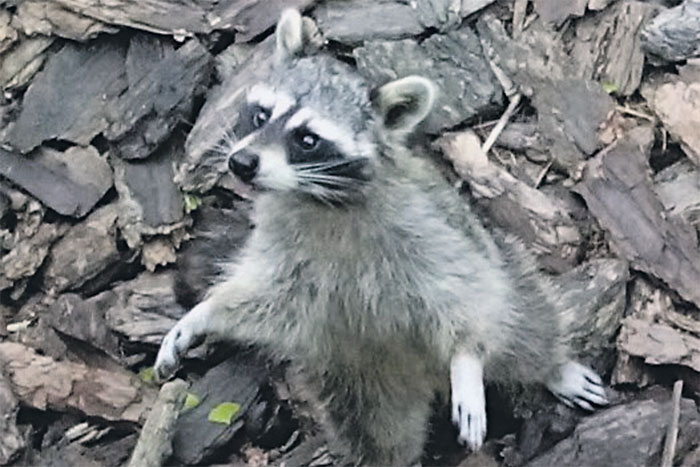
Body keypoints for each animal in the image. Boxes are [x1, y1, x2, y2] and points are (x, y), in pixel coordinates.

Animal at [154, 9, 608, 466]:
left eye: (307, 140)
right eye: (261, 115)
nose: (241, 163)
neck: (317, 197)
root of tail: (426, 377)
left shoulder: (424, 227)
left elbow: (462, 290)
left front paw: (467, 357)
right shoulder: (285, 247)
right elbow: (268, 296)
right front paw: (206, 312)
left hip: (504, 265)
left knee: (523, 322)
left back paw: (550, 368)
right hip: (358, 383)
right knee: (380, 437)